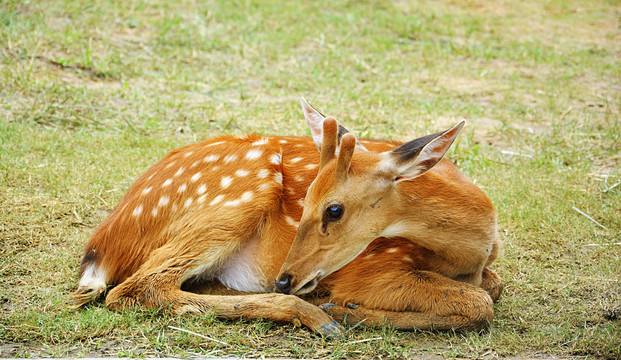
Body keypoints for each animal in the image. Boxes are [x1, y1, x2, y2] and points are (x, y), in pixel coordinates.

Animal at [72, 98, 502, 338]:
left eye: (334, 209)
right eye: (306, 196)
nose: (285, 277)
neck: (473, 250)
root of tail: (101, 246)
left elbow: (491, 289)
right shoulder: (375, 267)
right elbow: (481, 303)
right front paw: (347, 310)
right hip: (240, 198)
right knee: (137, 288)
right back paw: (320, 317)